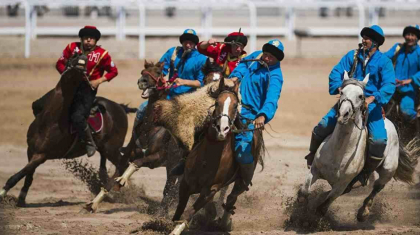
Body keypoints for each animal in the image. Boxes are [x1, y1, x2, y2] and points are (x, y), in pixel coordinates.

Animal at [0, 53, 133, 206]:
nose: (82, 59)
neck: (50, 119)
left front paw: (2, 194)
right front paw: (21, 199)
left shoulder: (41, 155)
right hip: (105, 149)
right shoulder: (31, 150)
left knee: (123, 165)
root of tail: (120, 107)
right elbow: (28, 176)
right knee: (105, 167)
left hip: (112, 149)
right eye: (73, 56)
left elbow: (17, 175)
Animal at [170, 76, 262, 234]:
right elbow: (179, 211)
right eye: (217, 102)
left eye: (235, 105)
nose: (222, 129)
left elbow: (189, 213)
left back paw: (224, 223)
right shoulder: (185, 183)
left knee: (231, 199)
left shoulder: (211, 189)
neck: (206, 159)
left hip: (241, 182)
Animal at [296, 72, 418, 222]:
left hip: (388, 170)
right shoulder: (314, 170)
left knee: (377, 187)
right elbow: (304, 192)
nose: (344, 114)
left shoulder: (341, 185)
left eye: (361, 96)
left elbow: (323, 207)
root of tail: (390, 123)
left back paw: (363, 212)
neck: (339, 151)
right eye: (341, 92)